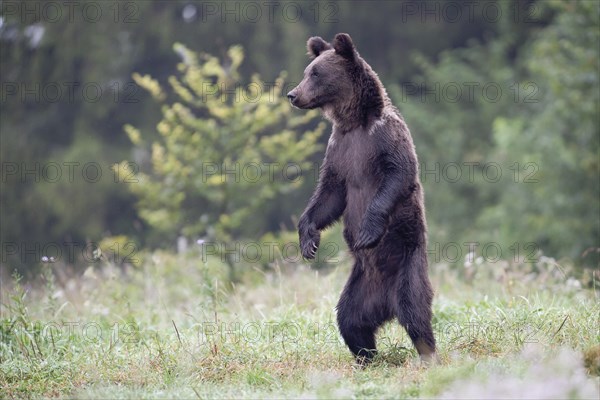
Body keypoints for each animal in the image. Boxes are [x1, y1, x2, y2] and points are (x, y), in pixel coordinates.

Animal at [288, 33, 436, 366]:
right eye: (307, 71)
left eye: (315, 73)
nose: (292, 94)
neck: (354, 122)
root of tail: (386, 304)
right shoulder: (340, 151)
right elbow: (328, 196)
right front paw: (308, 240)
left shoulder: (384, 140)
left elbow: (397, 175)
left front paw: (368, 231)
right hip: (360, 287)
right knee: (350, 320)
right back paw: (366, 356)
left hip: (409, 265)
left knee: (415, 311)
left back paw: (427, 353)